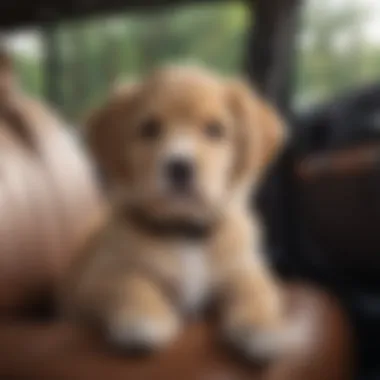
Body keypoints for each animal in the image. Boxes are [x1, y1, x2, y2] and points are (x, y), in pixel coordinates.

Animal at [62, 67, 300, 360]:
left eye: (215, 130)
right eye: (149, 129)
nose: (179, 167)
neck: (186, 234)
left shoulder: (245, 268)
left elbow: (257, 293)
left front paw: (261, 328)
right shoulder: (97, 278)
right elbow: (130, 283)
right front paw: (144, 320)